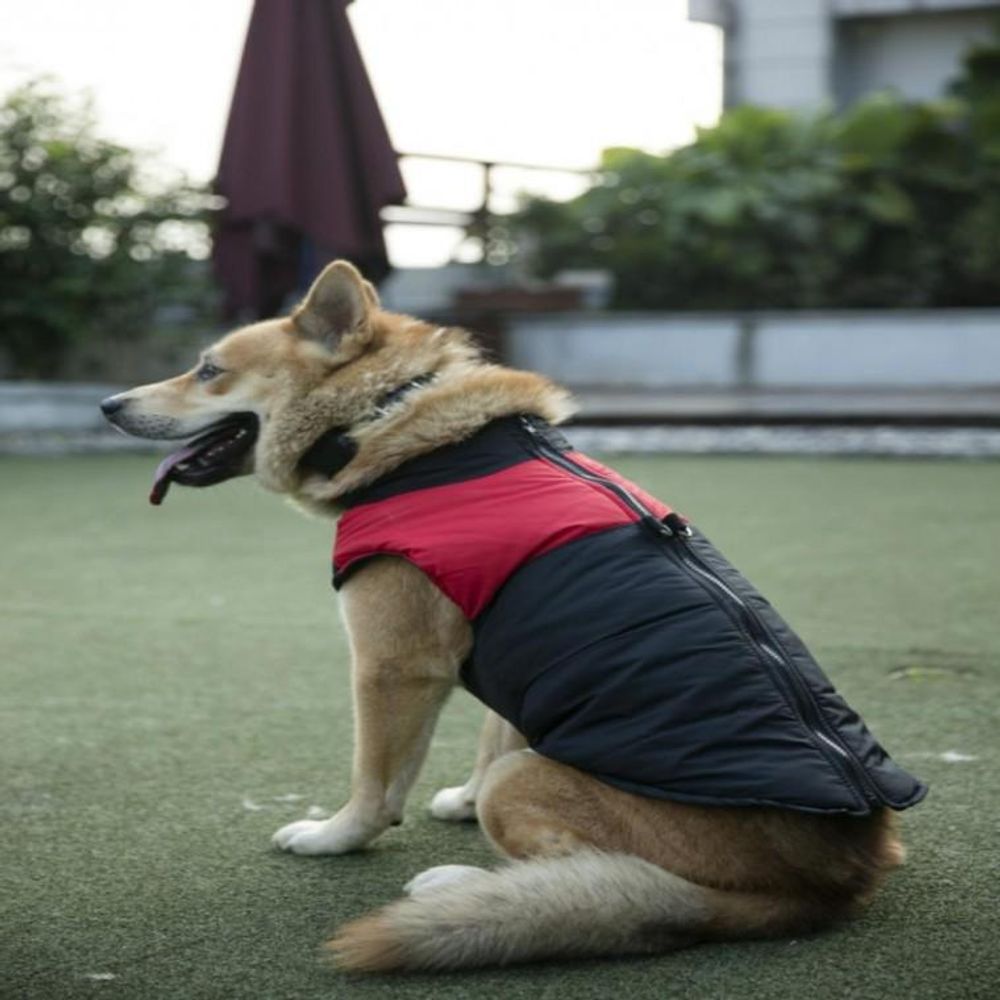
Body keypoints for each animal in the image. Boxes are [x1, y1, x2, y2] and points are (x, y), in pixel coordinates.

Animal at [99, 258, 920, 968]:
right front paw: (458, 802)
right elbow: (493, 733)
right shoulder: (506, 650)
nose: (108, 405)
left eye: (209, 369)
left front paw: (336, 837)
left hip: (530, 785)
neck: (391, 427)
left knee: (602, 875)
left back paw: (466, 888)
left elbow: (376, 783)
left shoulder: (391, 666)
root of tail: (833, 881)